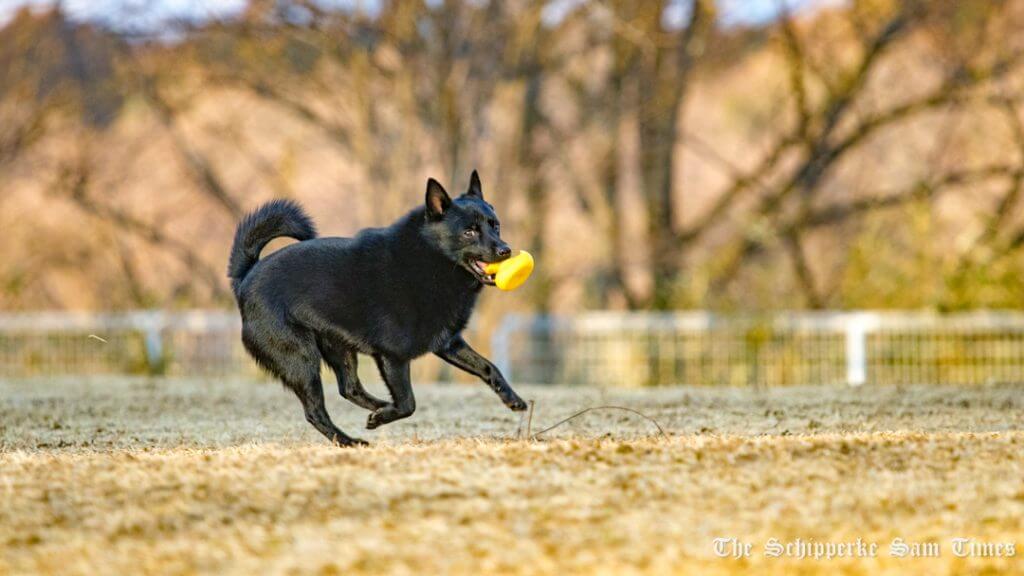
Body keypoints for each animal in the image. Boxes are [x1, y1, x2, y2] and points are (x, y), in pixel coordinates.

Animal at [227, 170, 524, 444]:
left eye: (495, 226)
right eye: (469, 232)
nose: (505, 250)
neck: (430, 259)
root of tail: (246, 277)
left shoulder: (448, 343)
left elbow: (488, 367)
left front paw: (513, 399)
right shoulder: (393, 356)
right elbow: (408, 403)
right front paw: (381, 419)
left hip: (339, 348)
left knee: (349, 388)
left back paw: (379, 407)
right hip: (301, 359)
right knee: (315, 411)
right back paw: (349, 440)